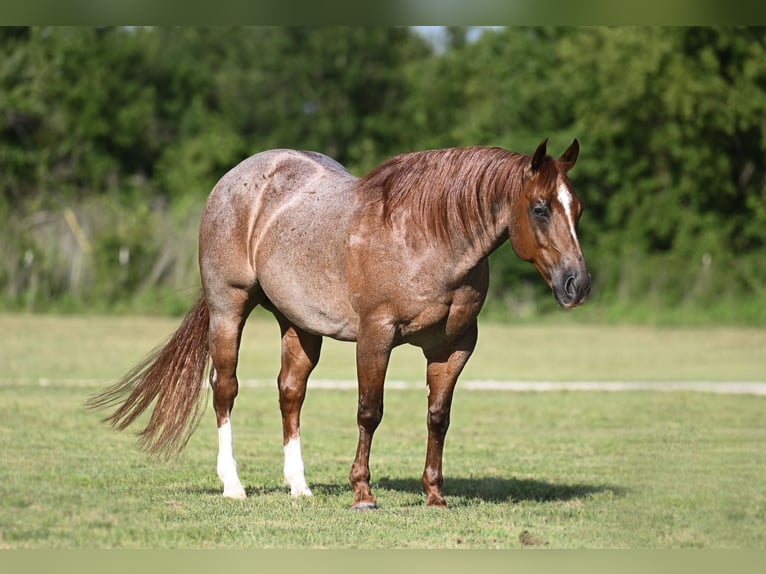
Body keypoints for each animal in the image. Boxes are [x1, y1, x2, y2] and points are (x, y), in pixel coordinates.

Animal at [87, 138, 591, 509]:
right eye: (541, 207)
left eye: (578, 208)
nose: (577, 284)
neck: (429, 238)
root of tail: (237, 178)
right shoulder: (376, 336)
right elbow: (370, 412)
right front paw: (363, 493)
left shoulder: (454, 347)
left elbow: (438, 417)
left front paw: (434, 494)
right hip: (229, 306)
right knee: (225, 388)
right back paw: (233, 484)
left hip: (299, 324)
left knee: (290, 392)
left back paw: (299, 485)